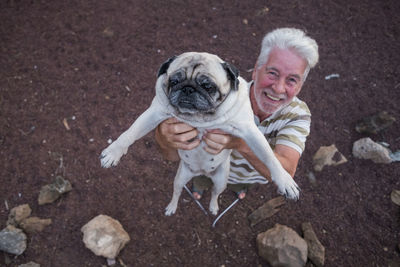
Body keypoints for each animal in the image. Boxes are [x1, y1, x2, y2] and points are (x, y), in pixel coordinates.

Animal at [100, 51, 300, 216]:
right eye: (174, 81)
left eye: (208, 86)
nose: (188, 88)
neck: (200, 118)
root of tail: (201, 172)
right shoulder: (154, 113)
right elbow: (130, 133)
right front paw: (113, 152)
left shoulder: (249, 130)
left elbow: (269, 157)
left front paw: (284, 180)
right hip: (180, 177)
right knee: (177, 191)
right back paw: (172, 207)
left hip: (221, 181)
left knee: (215, 194)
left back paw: (213, 207)